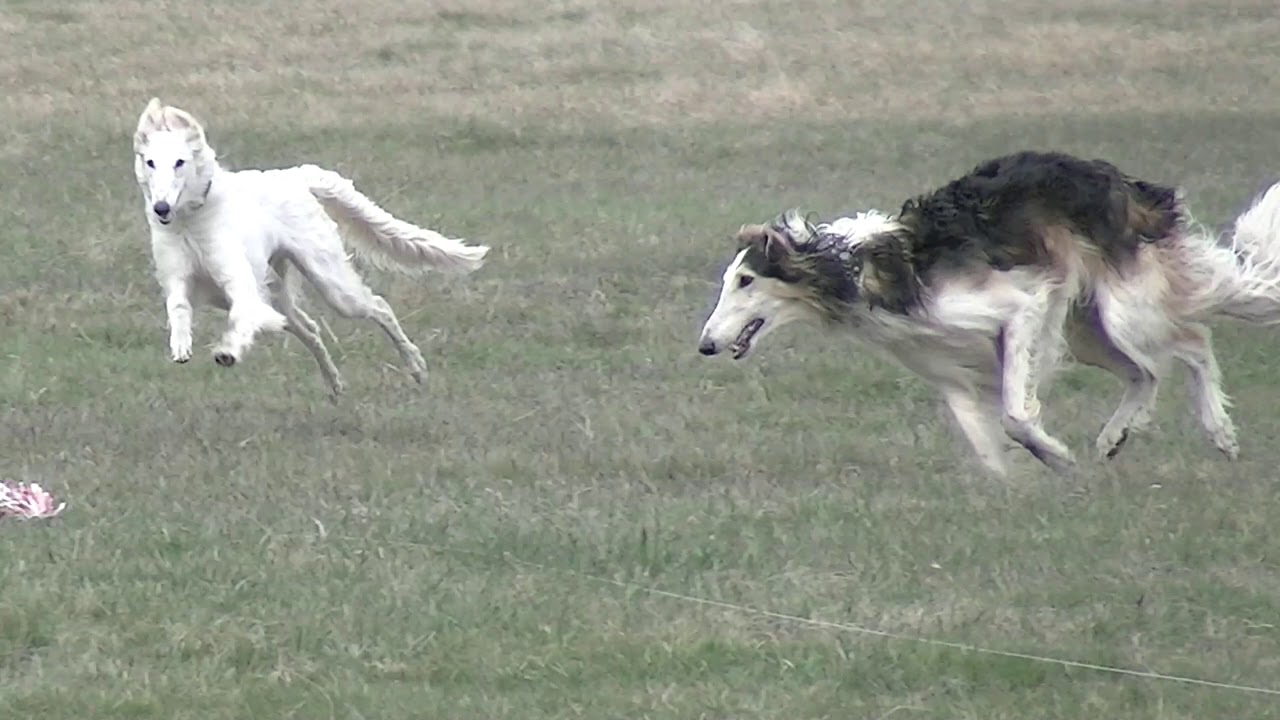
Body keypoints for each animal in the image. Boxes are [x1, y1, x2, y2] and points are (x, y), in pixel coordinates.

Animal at [132, 96, 486, 394]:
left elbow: (242, 317)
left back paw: (416, 367)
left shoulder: (241, 285)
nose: (160, 208)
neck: (189, 225)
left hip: (333, 285)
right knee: (312, 328)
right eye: (150, 162)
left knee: (379, 307)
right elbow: (178, 308)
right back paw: (334, 385)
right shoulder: (178, 278)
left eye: (179, 162)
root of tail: (295, 175)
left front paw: (228, 351)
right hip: (281, 296)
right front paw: (181, 345)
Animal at [696, 150, 1280, 474]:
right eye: (728, 281)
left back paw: (1220, 434)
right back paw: (1114, 438)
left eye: (746, 281)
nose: (705, 345)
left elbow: (1017, 417)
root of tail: (1130, 187)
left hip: (1123, 311)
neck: (855, 268)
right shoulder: (948, 368)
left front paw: (1056, 457)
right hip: (1087, 327)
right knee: (1147, 373)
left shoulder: (1021, 308)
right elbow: (987, 447)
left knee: (1193, 344)